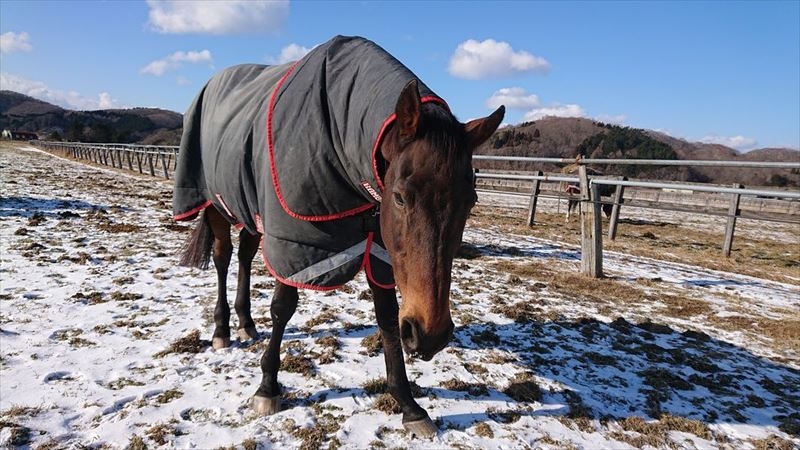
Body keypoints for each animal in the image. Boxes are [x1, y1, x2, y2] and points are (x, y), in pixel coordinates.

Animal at [175, 36, 504, 440]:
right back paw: (222, 329)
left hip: (250, 210)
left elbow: (388, 317)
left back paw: (246, 322)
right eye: (401, 197)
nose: (430, 335)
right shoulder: (295, 238)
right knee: (223, 258)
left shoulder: (380, 248)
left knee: (246, 256)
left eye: (471, 200)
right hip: (216, 206)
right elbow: (283, 308)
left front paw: (408, 404)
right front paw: (267, 387)